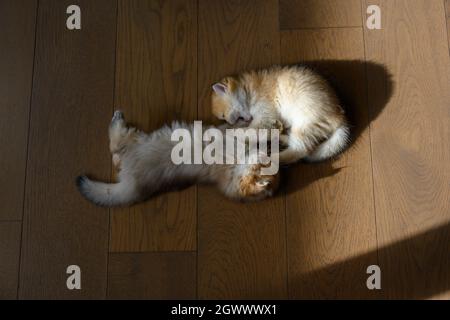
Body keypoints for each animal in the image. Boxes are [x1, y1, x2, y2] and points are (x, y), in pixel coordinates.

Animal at [76, 110, 278, 208]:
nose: (266, 155)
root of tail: (132, 185)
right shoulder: (229, 135)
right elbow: (244, 129)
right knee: (115, 153)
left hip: (133, 142)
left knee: (116, 142)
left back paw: (117, 118)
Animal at [212, 65, 352, 165]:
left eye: (223, 115)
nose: (230, 122)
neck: (251, 89)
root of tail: (340, 117)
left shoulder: (264, 117)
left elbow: (249, 130)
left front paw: (230, 132)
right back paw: (280, 138)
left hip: (305, 125)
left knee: (298, 151)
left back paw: (269, 157)